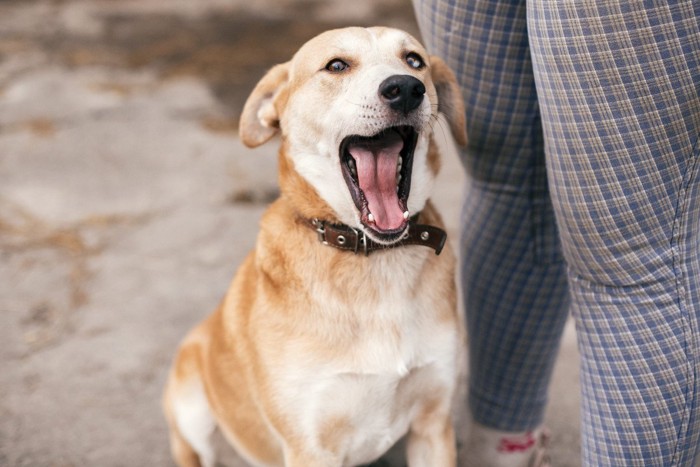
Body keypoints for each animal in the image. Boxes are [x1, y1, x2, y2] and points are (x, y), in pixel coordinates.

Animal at [163, 26, 468, 467]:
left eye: (414, 61)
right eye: (336, 66)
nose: (406, 89)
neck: (372, 257)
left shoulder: (433, 425)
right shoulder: (309, 445)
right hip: (191, 405)